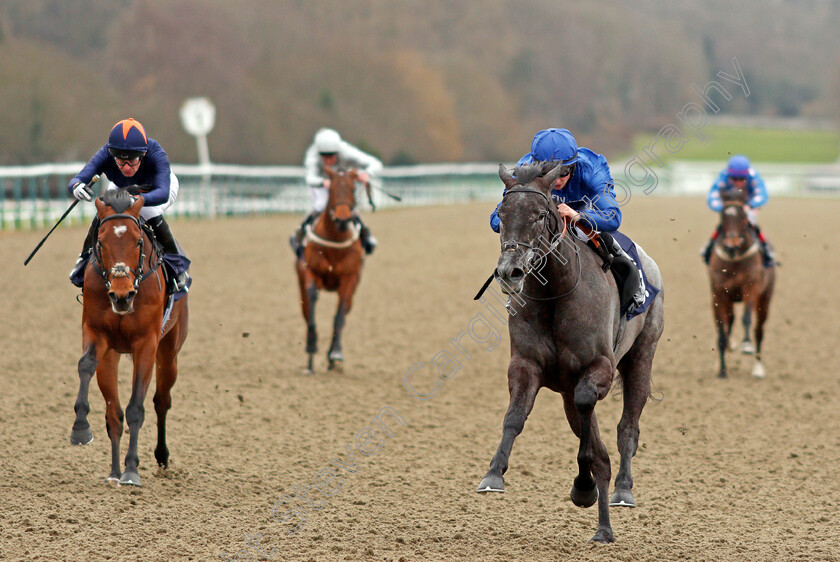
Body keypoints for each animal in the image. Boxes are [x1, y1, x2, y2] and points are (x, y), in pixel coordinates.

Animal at [69, 186, 189, 484]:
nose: (121, 296)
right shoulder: (97, 334)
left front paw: (132, 470)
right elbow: (86, 365)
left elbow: (137, 407)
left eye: (137, 242)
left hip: (169, 351)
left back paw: (161, 457)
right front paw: (80, 428)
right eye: (100, 241)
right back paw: (114, 472)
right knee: (113, 414)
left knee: (161, 401)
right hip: (112, 355)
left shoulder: (146, 344)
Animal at [294, 165, 362, 372]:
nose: (342, 220)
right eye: (331, 189)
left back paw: (332, 359)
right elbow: (311, 303)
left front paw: (336, 353)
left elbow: (339, 315)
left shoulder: (350, 277)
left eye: (353, 189)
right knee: (307, 311)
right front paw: (311, 347)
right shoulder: (311, 272)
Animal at [480, 163, 664, 544]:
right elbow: (515, 417)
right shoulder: (525, 365)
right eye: (501, 214)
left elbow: (590, 430)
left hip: (642, 355)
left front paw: (583, 486)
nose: (509, 272)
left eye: (540, 214)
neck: (557, 292)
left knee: (628, 427)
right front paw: (493, 474)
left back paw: (621, 491)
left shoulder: (600, 369)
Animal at [708, 185, 776, 376]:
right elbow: (721, 331)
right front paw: (722, 371)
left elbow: (746, 317)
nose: (731, 244)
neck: (734, 258)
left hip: (765, 300)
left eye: (743, 215)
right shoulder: (719, 294)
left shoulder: (751, 289)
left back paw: (758, 367)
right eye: (723, 215)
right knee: (730, 320)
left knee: (759, 330)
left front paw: (746, 345)